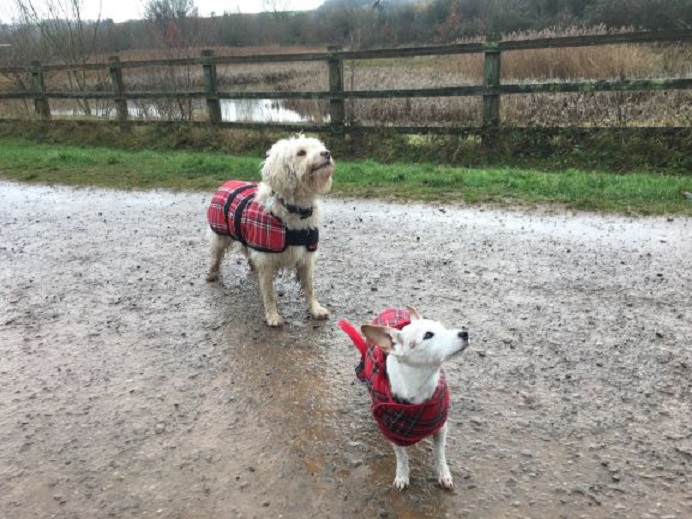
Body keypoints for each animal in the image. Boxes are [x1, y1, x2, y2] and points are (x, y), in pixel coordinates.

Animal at [205, 136, 336, 328]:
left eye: (320, 147)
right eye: (301, 152)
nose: (326, 153)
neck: (294, 209)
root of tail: (228, 182)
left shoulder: (306, 258)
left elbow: (310, 288)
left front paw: (315, 309)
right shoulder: (266, 260)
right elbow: (269, 293)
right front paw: (272, 316)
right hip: (220, 236)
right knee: (216, 255)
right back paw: (213, 273)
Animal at [338, 308, 468, 492]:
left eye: (443, 327)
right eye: (428, 335)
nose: (465, 333)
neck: (419, 385)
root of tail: (389, 309)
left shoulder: (441, 426)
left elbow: (439, 453)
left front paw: (443, 474)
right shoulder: (393, 431)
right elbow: (401, 456)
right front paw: (402, 475)